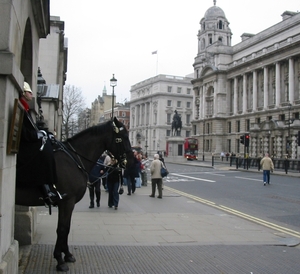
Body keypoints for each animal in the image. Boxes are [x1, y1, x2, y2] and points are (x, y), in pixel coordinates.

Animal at [15, 117, 134, 272]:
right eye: (124, 136)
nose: (131, 161)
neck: (74, 158)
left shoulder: (68, 204)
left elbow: (67, 228)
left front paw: (67, 255)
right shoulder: (66, 202)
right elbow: (62, 229)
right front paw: (60, 260)